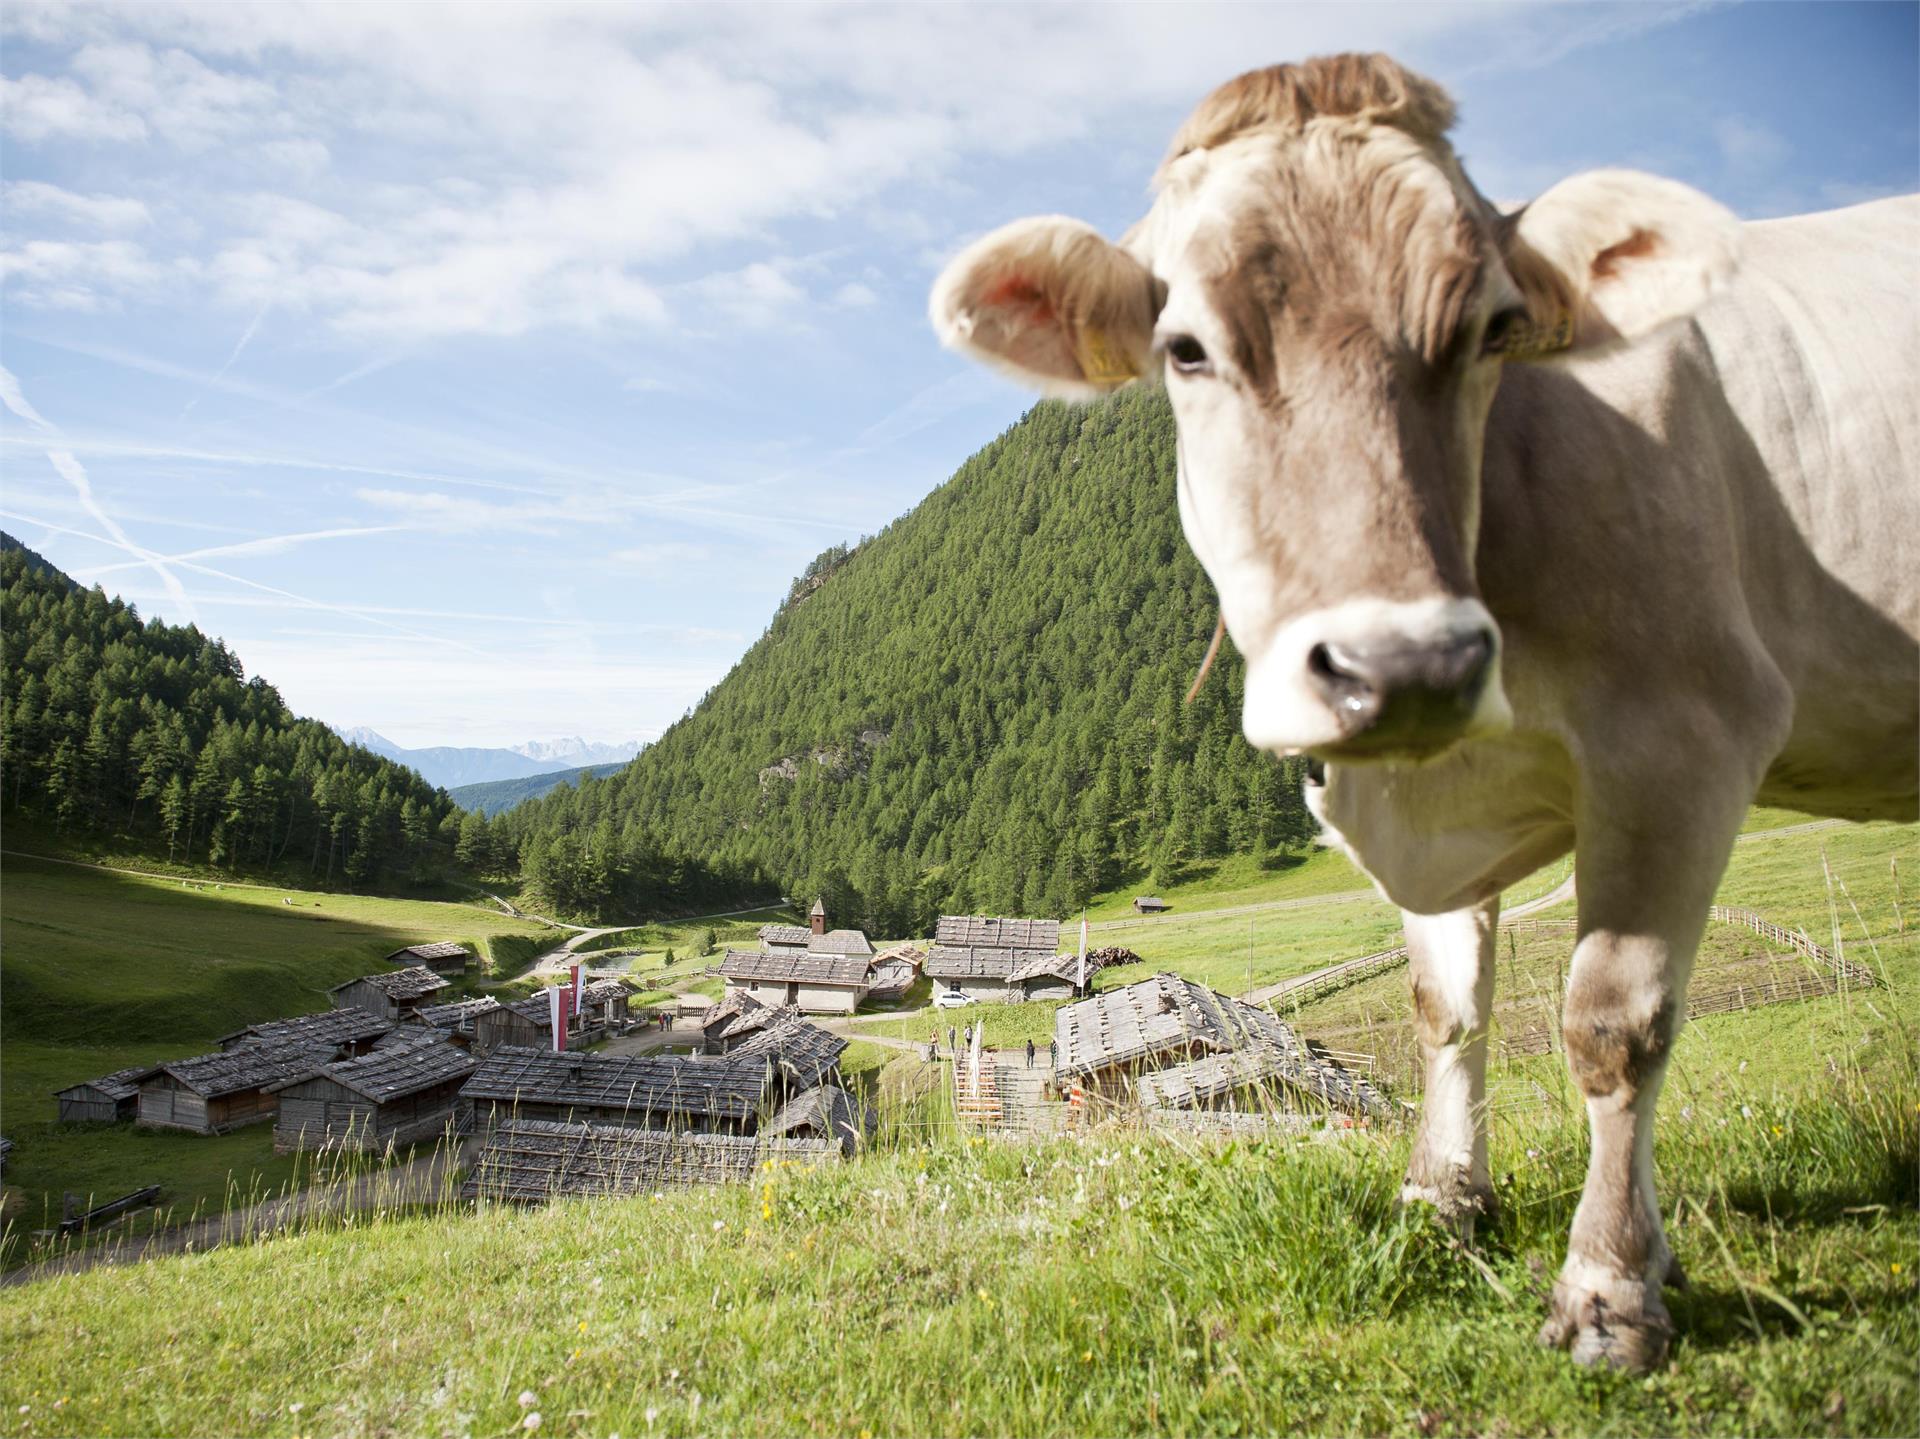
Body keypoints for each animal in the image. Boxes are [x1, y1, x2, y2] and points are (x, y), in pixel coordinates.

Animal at [933, 50, 1920, 1367]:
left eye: (1494, 329)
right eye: (1185, 347)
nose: (1405, 664)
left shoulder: (1686, 732)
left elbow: (1615, 1023)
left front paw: (1610, 1287)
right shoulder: (1426, 788)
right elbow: (1445, 1006)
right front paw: (1442, 1200)